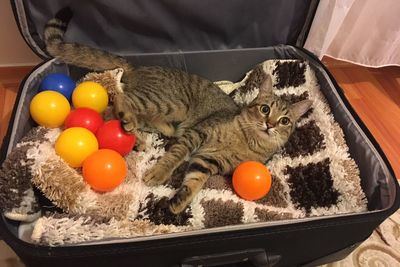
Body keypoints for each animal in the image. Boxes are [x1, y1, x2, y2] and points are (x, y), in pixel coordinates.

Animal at [44, 7, 312, 215]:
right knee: (119, 99)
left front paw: (179, 202)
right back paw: (130, 124)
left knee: (112, 113)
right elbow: (173, 157)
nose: (271, 124)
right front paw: (159, 173)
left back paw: (136, 138)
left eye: (285, 120)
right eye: (265, 109)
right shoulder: (197, 134)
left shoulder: (207, 162)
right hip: (169, 102)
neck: (246, 141)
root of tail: (138, 66)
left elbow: (194, 182)